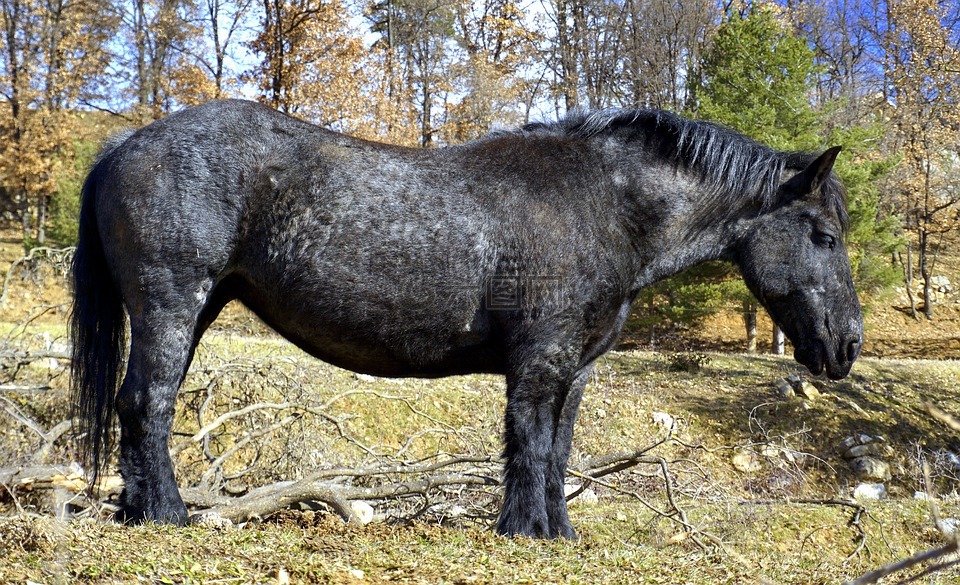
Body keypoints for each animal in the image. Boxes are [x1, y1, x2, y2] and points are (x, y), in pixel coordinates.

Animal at [71, 99, 863, 539]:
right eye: (824, 236)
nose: (848, 345)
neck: (604, 204)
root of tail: (123, 144)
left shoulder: (575, 370)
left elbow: (558, 450)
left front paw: (557, 531)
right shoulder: (540, 361)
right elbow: (528, 443)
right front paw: (524, 531)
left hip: (196, 308)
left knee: (136, 405)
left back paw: (135, 511)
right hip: (173, 304)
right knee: (148, 402)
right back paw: (166, 515)